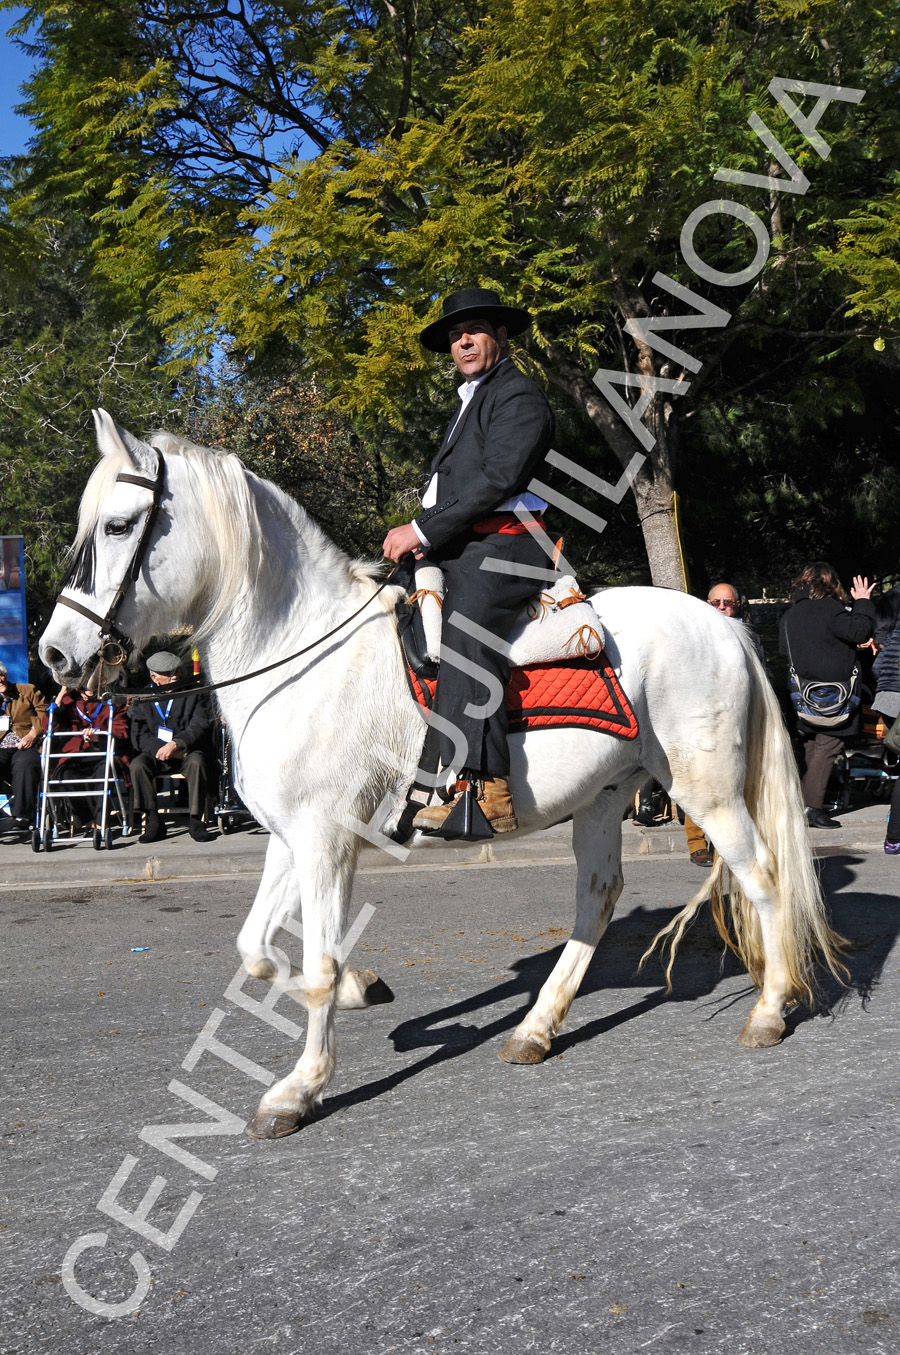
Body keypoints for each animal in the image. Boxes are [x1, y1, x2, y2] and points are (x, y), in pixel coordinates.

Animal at [40, 417, 845, 1138]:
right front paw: (367, 989)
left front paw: (299, 1088)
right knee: (597, 897)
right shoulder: (289, 839)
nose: (54, 654)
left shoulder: (327, 841)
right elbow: (257, 950)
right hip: (605, 795)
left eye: (118, 526)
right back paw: (536, 1027)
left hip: (707, 791)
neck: (305, 654)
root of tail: (723, 622)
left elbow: (317, 963)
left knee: (763, 875)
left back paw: (769, 1010)